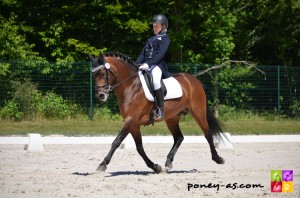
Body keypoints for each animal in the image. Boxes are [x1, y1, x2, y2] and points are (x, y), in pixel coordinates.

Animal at [89, 51, 225, 173]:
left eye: (102, 73)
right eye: (94, 75)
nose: (100, 95)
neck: (130, 86)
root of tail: (194, 79)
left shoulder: (130, 120)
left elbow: (116, 142)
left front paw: (102, 164)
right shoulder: (133, 124)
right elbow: (139, 147)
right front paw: (155, 167)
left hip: (199, 113)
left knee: (207, 134)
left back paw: (218, 159)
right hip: (172, 118)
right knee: (179, 137)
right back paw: (168, 162)